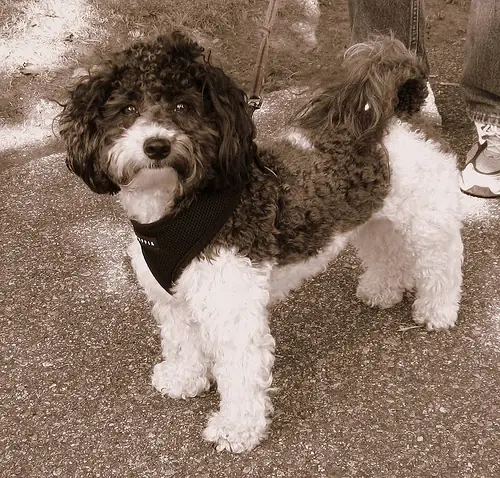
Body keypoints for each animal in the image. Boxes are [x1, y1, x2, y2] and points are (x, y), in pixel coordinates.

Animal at [58, 32, 463, 453]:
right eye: (127, 108)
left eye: (183, 105)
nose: (157, 145)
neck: (181, 208)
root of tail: (403, 112)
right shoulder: (172, 297)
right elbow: (182, 342)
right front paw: (184, 379)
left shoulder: (232, 309)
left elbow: (239, 373)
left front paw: (236, 429)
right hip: (372, 216)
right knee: (387, 251)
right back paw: (383, 290)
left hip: (428, 220)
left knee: (443, 264)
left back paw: (437, 310)